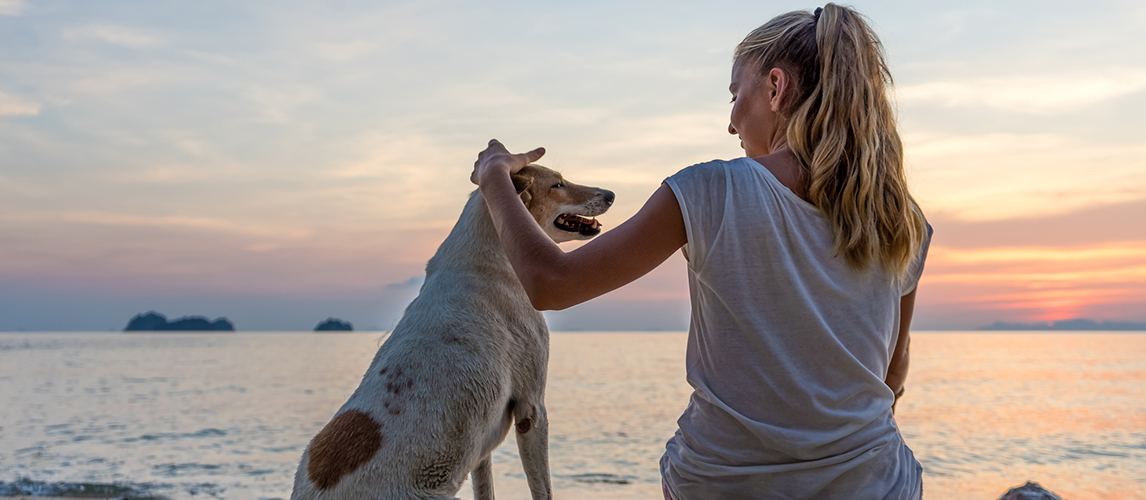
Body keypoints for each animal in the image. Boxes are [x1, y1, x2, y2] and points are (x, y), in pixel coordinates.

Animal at [293, 165, 618, 499]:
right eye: (558, 184)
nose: (611, 194)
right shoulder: (532, 408)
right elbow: (542, 489)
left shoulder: (482, 444)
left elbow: (485, 488)